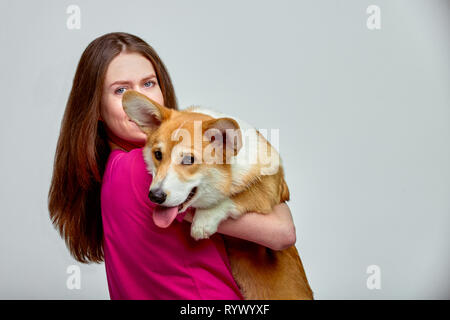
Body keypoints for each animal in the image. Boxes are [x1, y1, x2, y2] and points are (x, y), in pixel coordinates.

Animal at [122, 90, 312, 300]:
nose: (154, 196)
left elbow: (241, 195)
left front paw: (203, 222)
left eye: (189, 160)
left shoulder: (271, 184)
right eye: (157, 154)